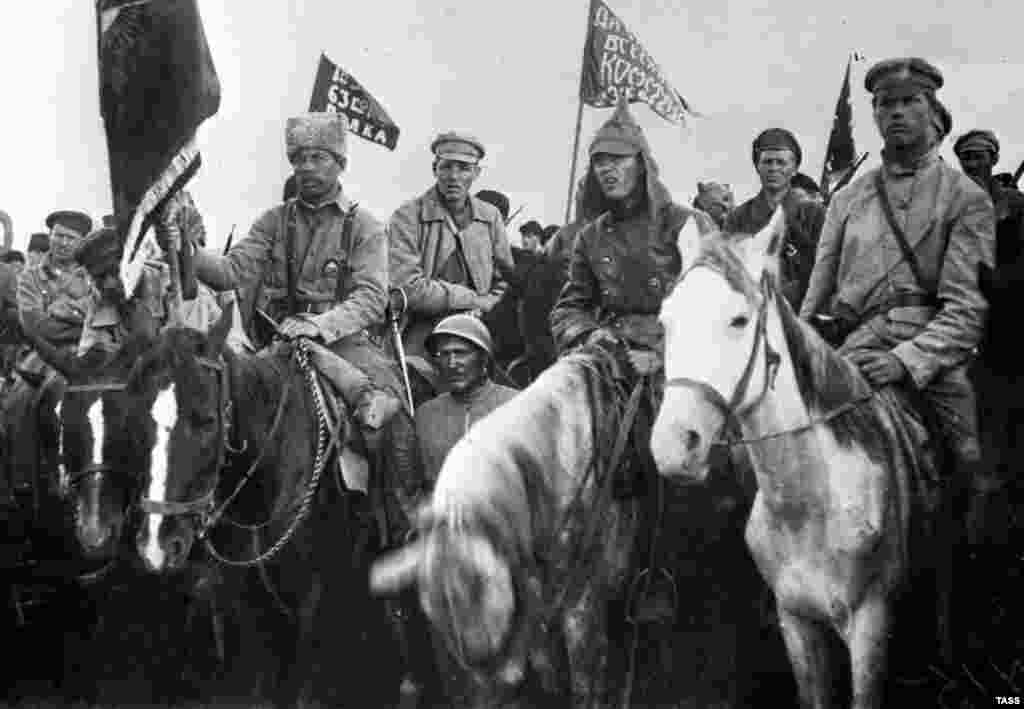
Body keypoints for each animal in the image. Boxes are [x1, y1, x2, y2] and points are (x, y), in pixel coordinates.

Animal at [651, 207, 946, 704]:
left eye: (739, 320)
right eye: (666, 321)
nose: (674, 445)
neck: (809, 504)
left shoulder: (871, 625)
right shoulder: (796, 623)